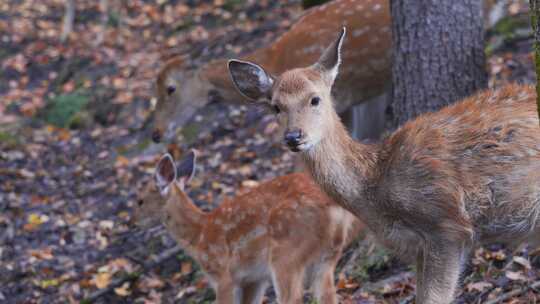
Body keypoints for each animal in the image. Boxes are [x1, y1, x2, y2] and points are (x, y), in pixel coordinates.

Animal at [133, 151, 364, 302]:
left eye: (140, 201)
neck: (199, 234)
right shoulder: (252, 279)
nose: (133, 222)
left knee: (293, 297)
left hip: (286, 253)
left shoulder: (222, 274)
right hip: (327, 256)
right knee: (328, 294)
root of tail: (333, 207)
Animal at [228, 28, 540, 304]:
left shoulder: (447, 224)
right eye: (276, 106)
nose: (294, 137)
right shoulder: (419, 248)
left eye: (315, 98)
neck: (375, 186)